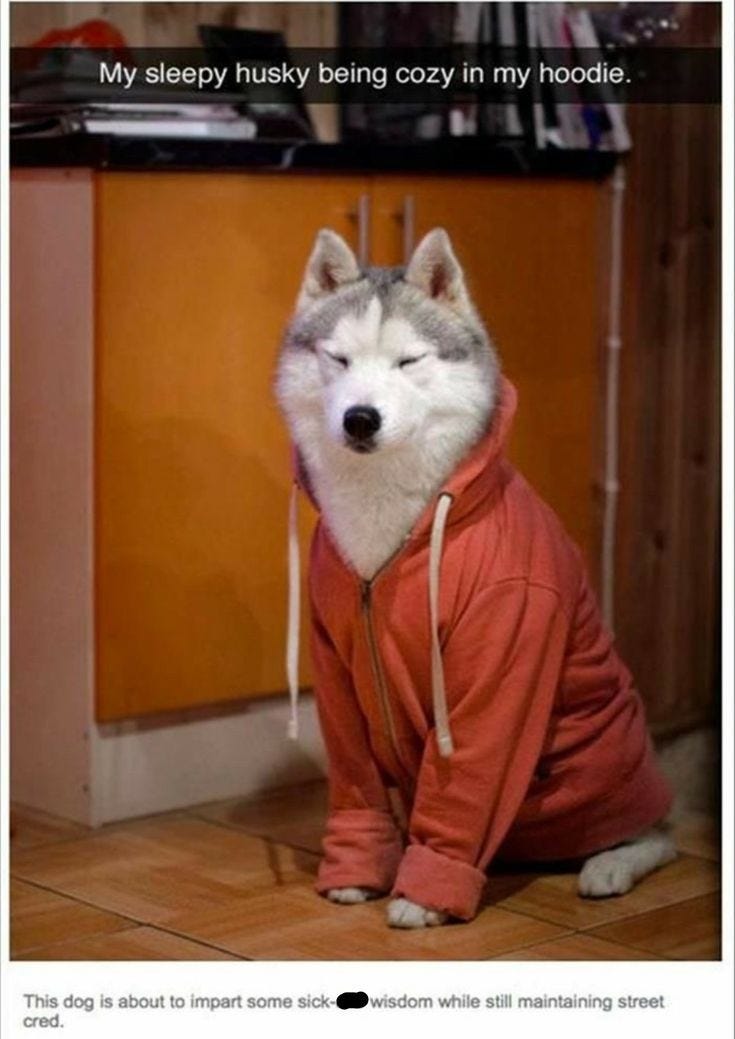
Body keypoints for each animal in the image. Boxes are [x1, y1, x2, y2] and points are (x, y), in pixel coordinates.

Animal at [276, 228, 676, 929]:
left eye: (408, 361)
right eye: (339, 359)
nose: (360, 418)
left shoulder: (504, 645)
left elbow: (469, 779)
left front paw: (421, 896)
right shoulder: (335, 672)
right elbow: (356, 787)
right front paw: (356, 874)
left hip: (594, 769)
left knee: (658, 832)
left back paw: (611, 865)